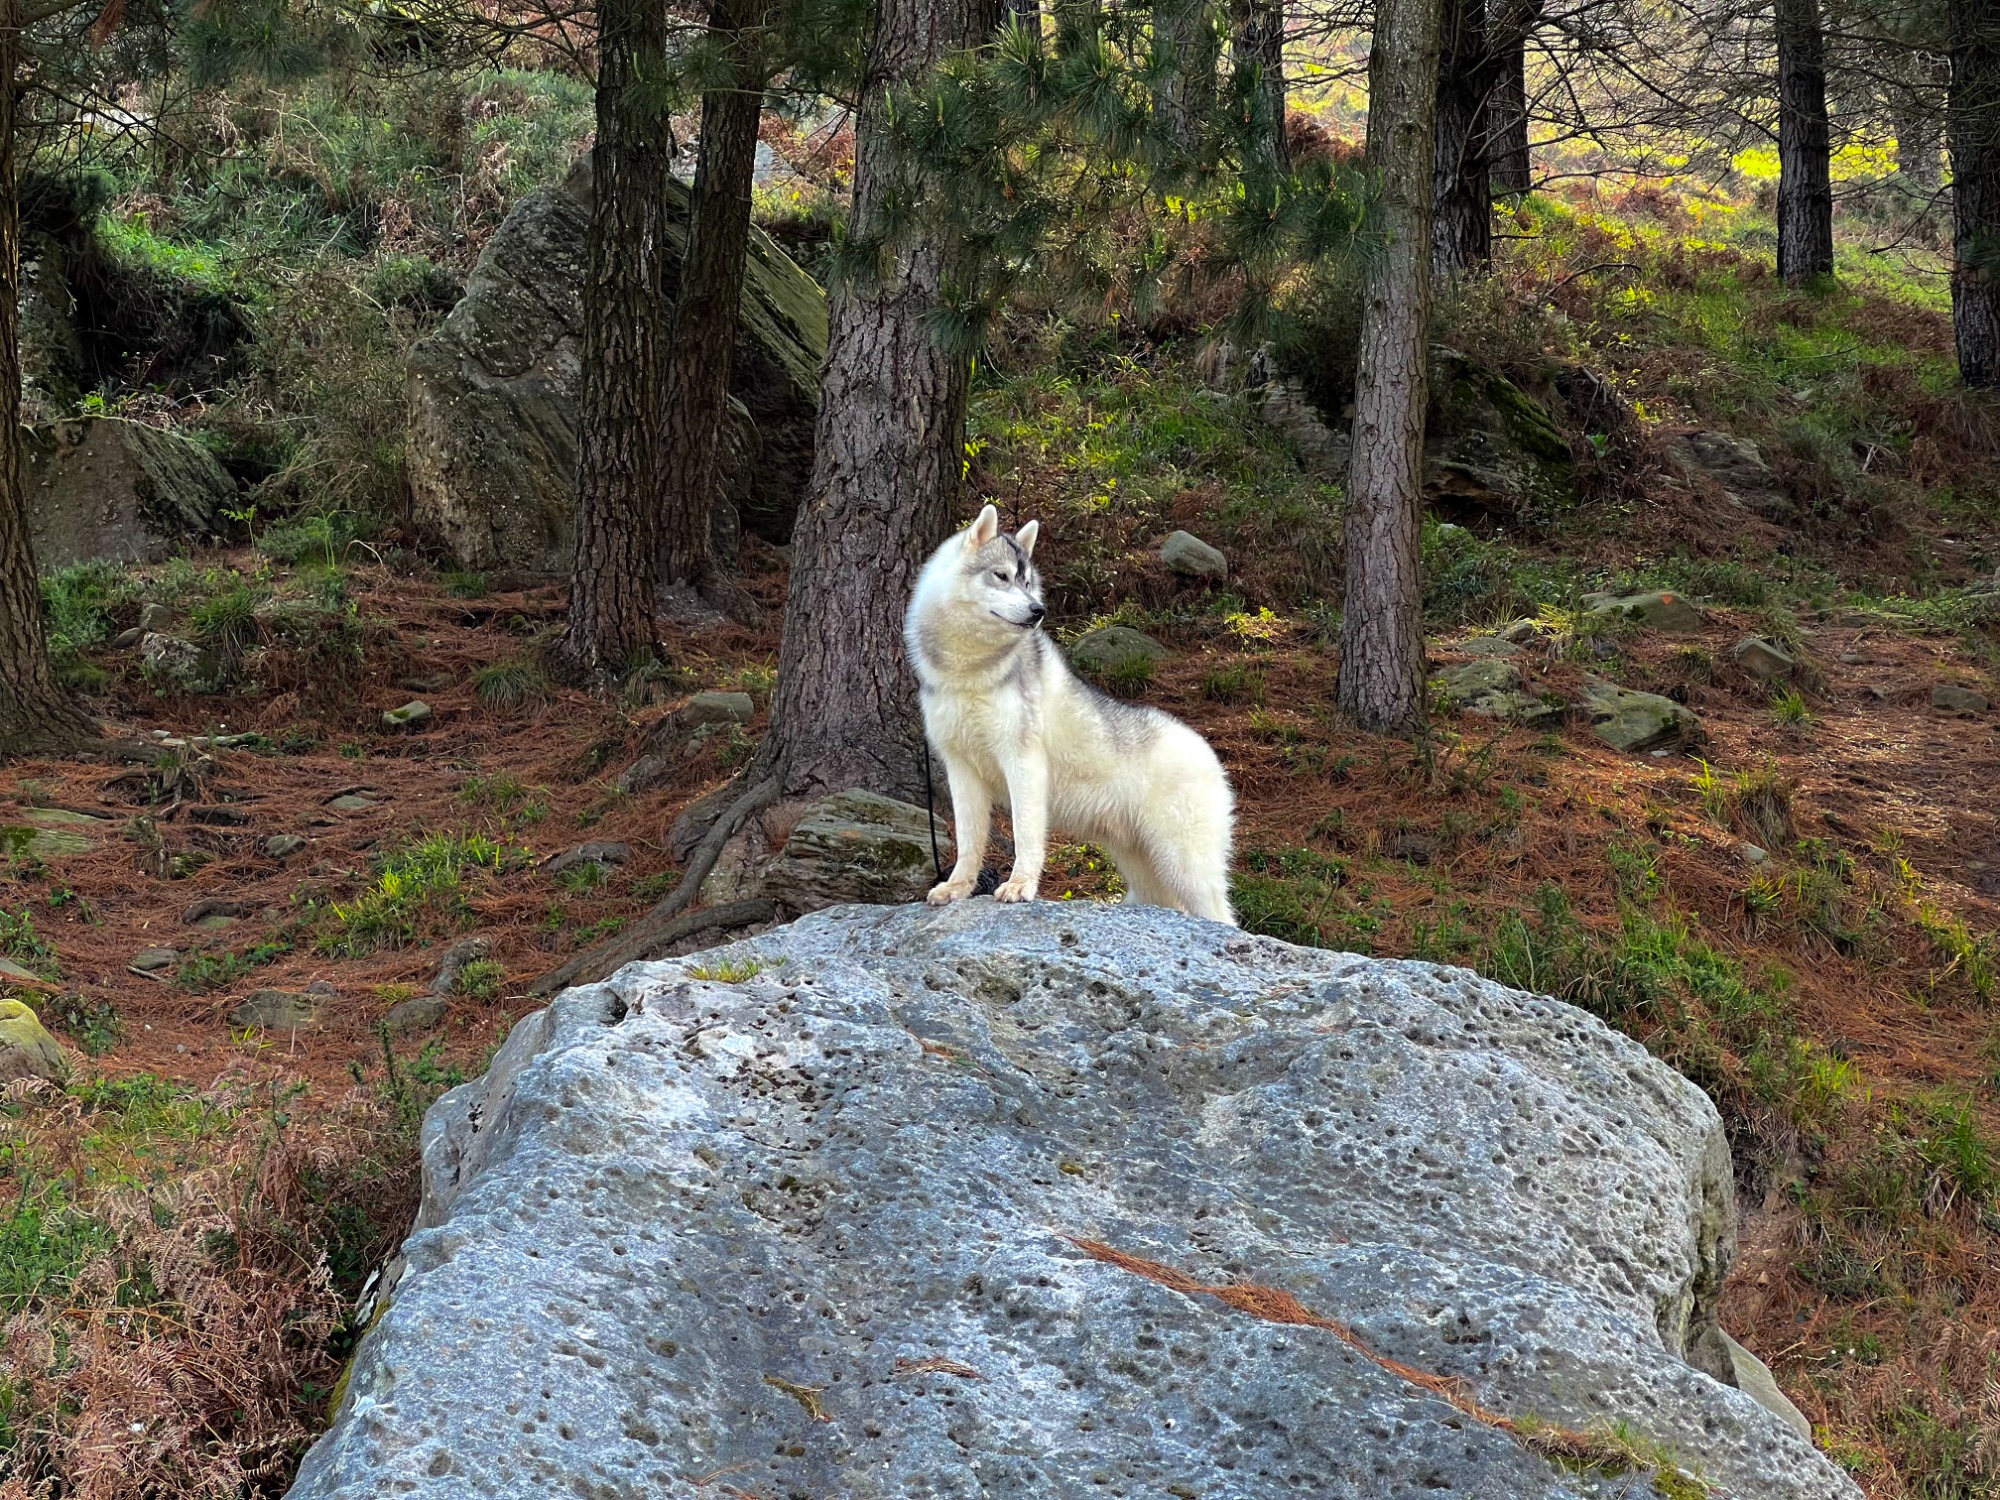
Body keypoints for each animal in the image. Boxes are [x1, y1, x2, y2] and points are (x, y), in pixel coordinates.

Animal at [904, 504, 1237, 925]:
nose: (1038, 611)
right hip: (1145, 869)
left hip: (1185, 868)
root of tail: (1208, 753)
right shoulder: (961, 769)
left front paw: (1020, 886)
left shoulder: (1022, 763)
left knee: (1224, 917)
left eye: (1028, 582)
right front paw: (957, 888)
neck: (970, 672)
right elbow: (968, 843)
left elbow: (1026, 835)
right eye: (1002, 576)